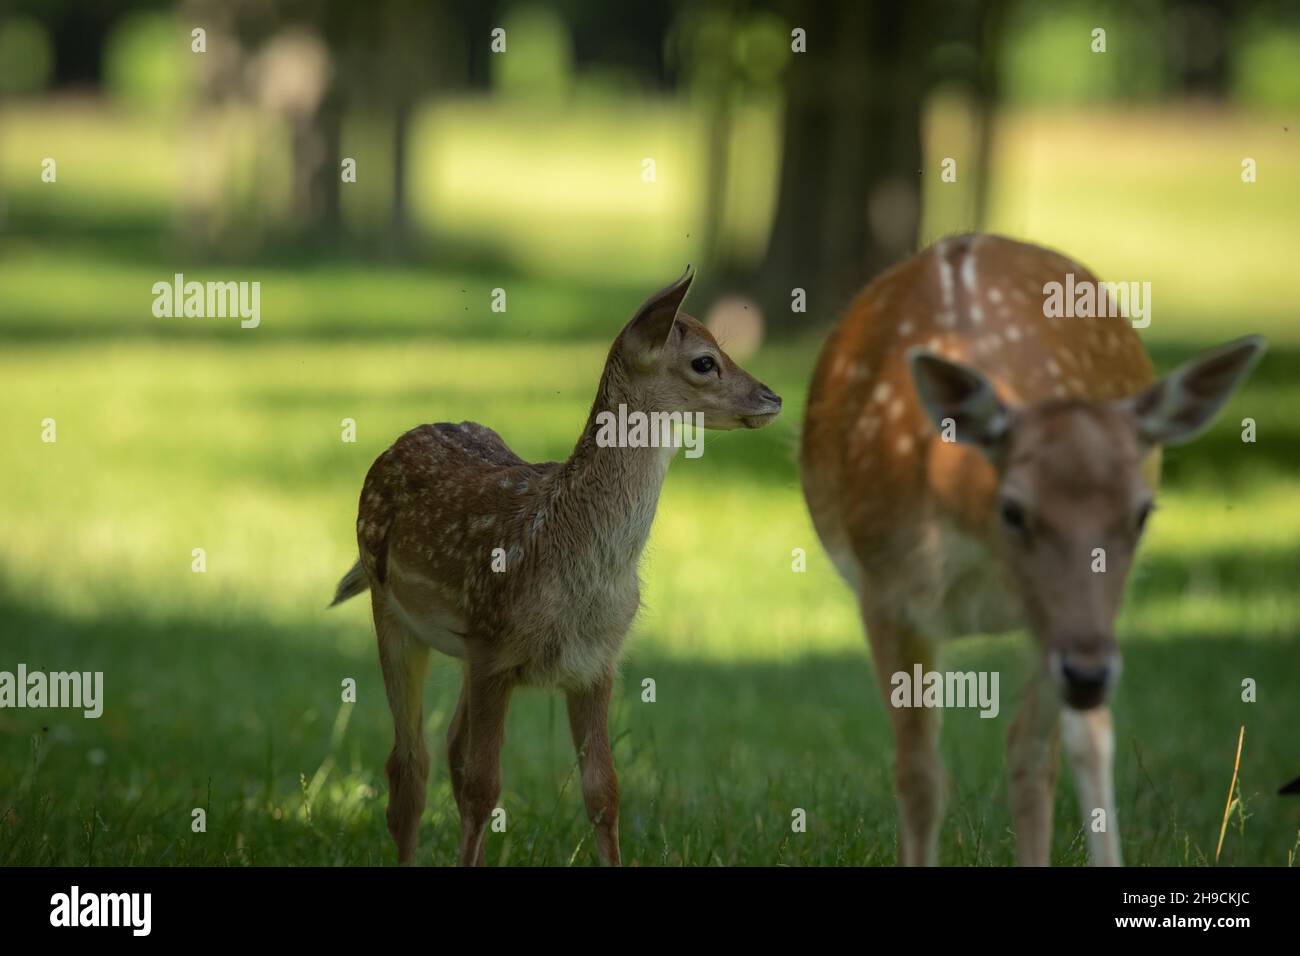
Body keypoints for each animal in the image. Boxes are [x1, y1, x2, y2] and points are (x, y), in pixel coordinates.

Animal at [330, 267, 782, 866]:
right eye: (705, 361)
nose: (773, 397)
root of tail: (400, 441)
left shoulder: (595, 663)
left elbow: (603, 791)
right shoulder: (494, 649)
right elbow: (483, 787)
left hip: (464, 650)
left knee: (448, 746)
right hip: (393, 612)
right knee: (410, 765)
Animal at [800, 233, 1265, 866]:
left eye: (1143, 512)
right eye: (1014, 510)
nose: (1090, 674)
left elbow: (1033, 755)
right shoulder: (884, 589)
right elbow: (919, 775)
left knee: (1066, 742)